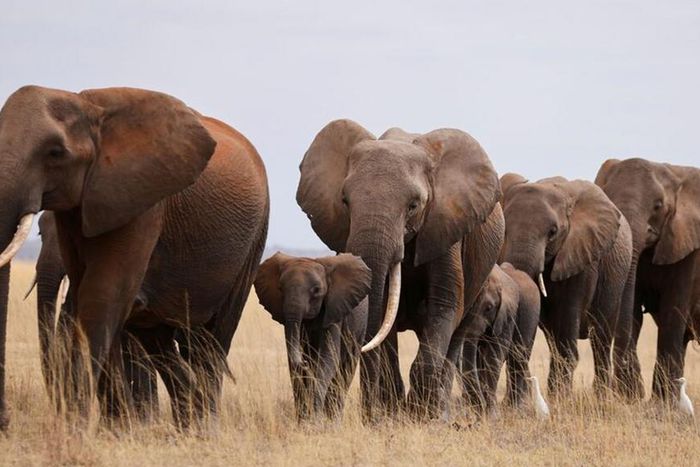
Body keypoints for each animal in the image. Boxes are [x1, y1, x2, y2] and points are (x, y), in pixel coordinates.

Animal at [0, 86, 269, 430]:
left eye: (55, 153)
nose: (5, 421)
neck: (87, 104)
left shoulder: (144, 204)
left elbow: (102, 295)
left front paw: (77, 430)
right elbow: (95, 297)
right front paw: (116, 430)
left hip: (254, 240)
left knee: (211, 340)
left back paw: (204, 427)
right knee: (162, 342)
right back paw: (185, 422)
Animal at [254, 252, 371, 421]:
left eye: (316, 290)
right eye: (280, 288)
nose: (304, 362)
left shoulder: (334, 311)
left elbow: (328, 359)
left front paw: (314, 420)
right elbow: (293, 366)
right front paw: (304, 420)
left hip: (359, 329)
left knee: (345, 371)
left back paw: (333, 421)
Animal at [297, 120, 502, 420]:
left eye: (413, 205)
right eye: (345, 201)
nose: (371, 415)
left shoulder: (445, 226)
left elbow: (444, 304)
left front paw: (421, 416)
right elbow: (382, 316)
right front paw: (388, 417)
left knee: (457, 334)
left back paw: (440, 412)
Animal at [500, 175, 633, 398]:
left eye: (552, 232)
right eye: (506, 229)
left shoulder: (582, 254)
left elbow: (568, 315)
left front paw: (560, 400)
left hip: (617, 278)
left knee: (601, 339)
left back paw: (600, 397)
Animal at [595, 158, 700, 401]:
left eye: (658, 206)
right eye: (610, 200)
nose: (618, 389)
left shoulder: (688, 246)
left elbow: (673, 311)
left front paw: (661, 403)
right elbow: (633, 312)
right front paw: (632, 396)